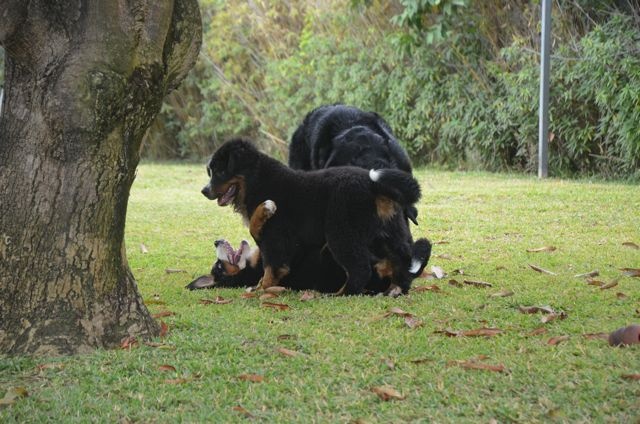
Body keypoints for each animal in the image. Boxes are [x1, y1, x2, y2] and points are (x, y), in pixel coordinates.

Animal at [202, 139, 422, 294]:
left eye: (220, 171)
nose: (204, 191)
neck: (256, 180)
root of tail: (373, 185)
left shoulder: (275, 235)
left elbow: (270, 265)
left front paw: (264, 288)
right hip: (392, 231)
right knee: (402, 260)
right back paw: (396, 289)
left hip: (341, 232)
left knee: (360, 269)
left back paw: (340, 294)